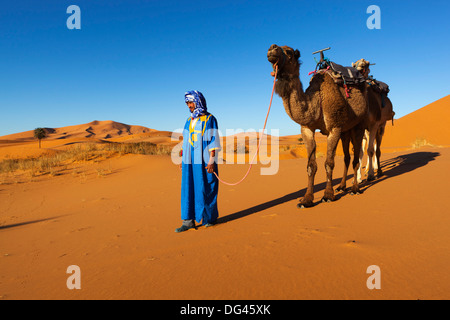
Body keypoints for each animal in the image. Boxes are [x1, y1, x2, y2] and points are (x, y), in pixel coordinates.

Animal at [266, 44, 368, 208]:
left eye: (289, 52)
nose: (272, 48)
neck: (316, 100)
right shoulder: (307, 129)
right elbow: (310, 166)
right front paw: (306, 199)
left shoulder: (334, 127)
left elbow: (329, 163)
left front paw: (328, 195)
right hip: (346, 130)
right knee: (347, 157)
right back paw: (342, 186)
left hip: (359, 124)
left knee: (356, 157)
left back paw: (354, 189)